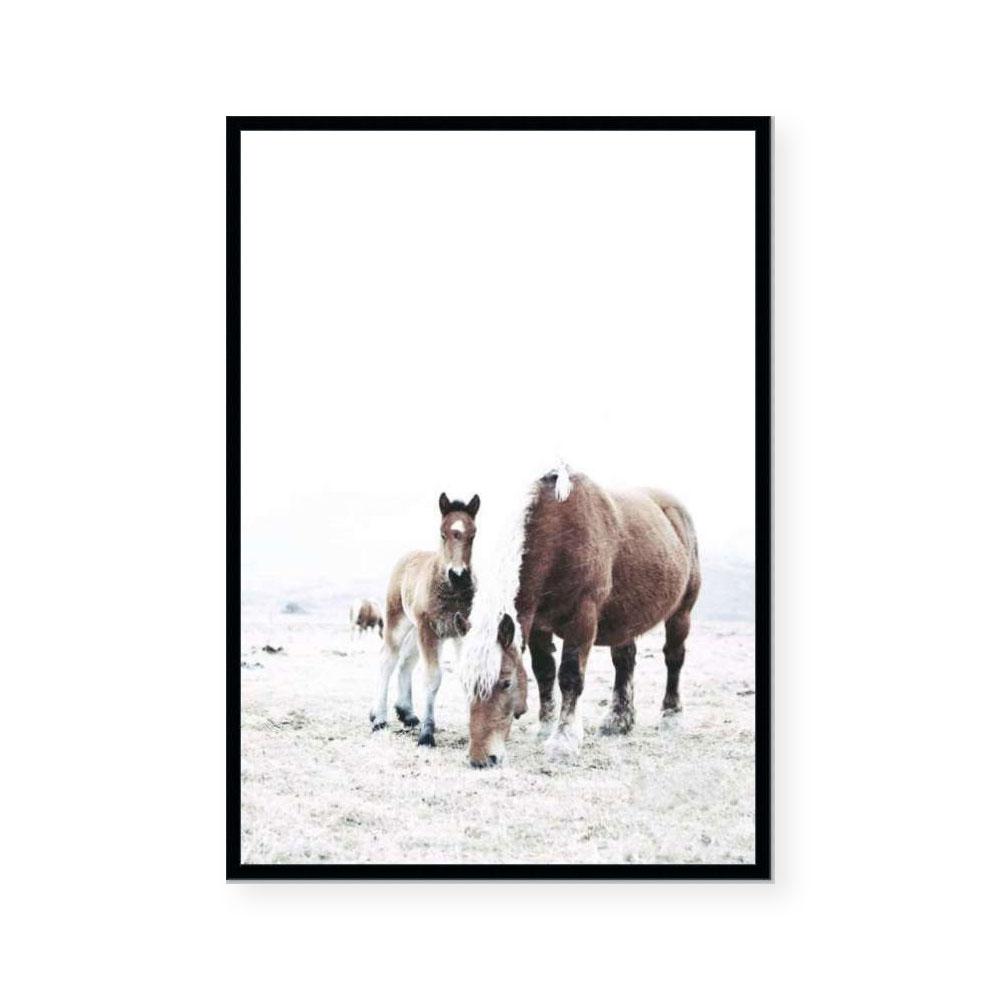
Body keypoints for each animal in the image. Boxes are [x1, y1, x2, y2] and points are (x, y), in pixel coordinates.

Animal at [369, 492, 480, 748]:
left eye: (473, 534)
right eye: (443, 533)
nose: (459, 576)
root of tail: (408, 555)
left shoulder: (461, 631)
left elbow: (467, 675)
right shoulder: (429, 630)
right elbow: (432, 678)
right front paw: (427, 735)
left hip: (417, 630)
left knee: (405, 662)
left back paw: (406, 713)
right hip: (399, 622)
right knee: (387, 659)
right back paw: (379, 718)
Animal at [459, 463, 700, 767]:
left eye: (505, 683)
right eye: (465, 684)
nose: (481, 759)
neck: (557, 537)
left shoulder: (582, 620)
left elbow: (570, 676)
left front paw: (564, 740)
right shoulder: (538, 626)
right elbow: (544, 672)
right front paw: (546, 726)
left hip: (681, 613)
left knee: (673, 658)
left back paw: (671, 717)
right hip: (624, 618)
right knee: (624, 661)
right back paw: (618, 721)